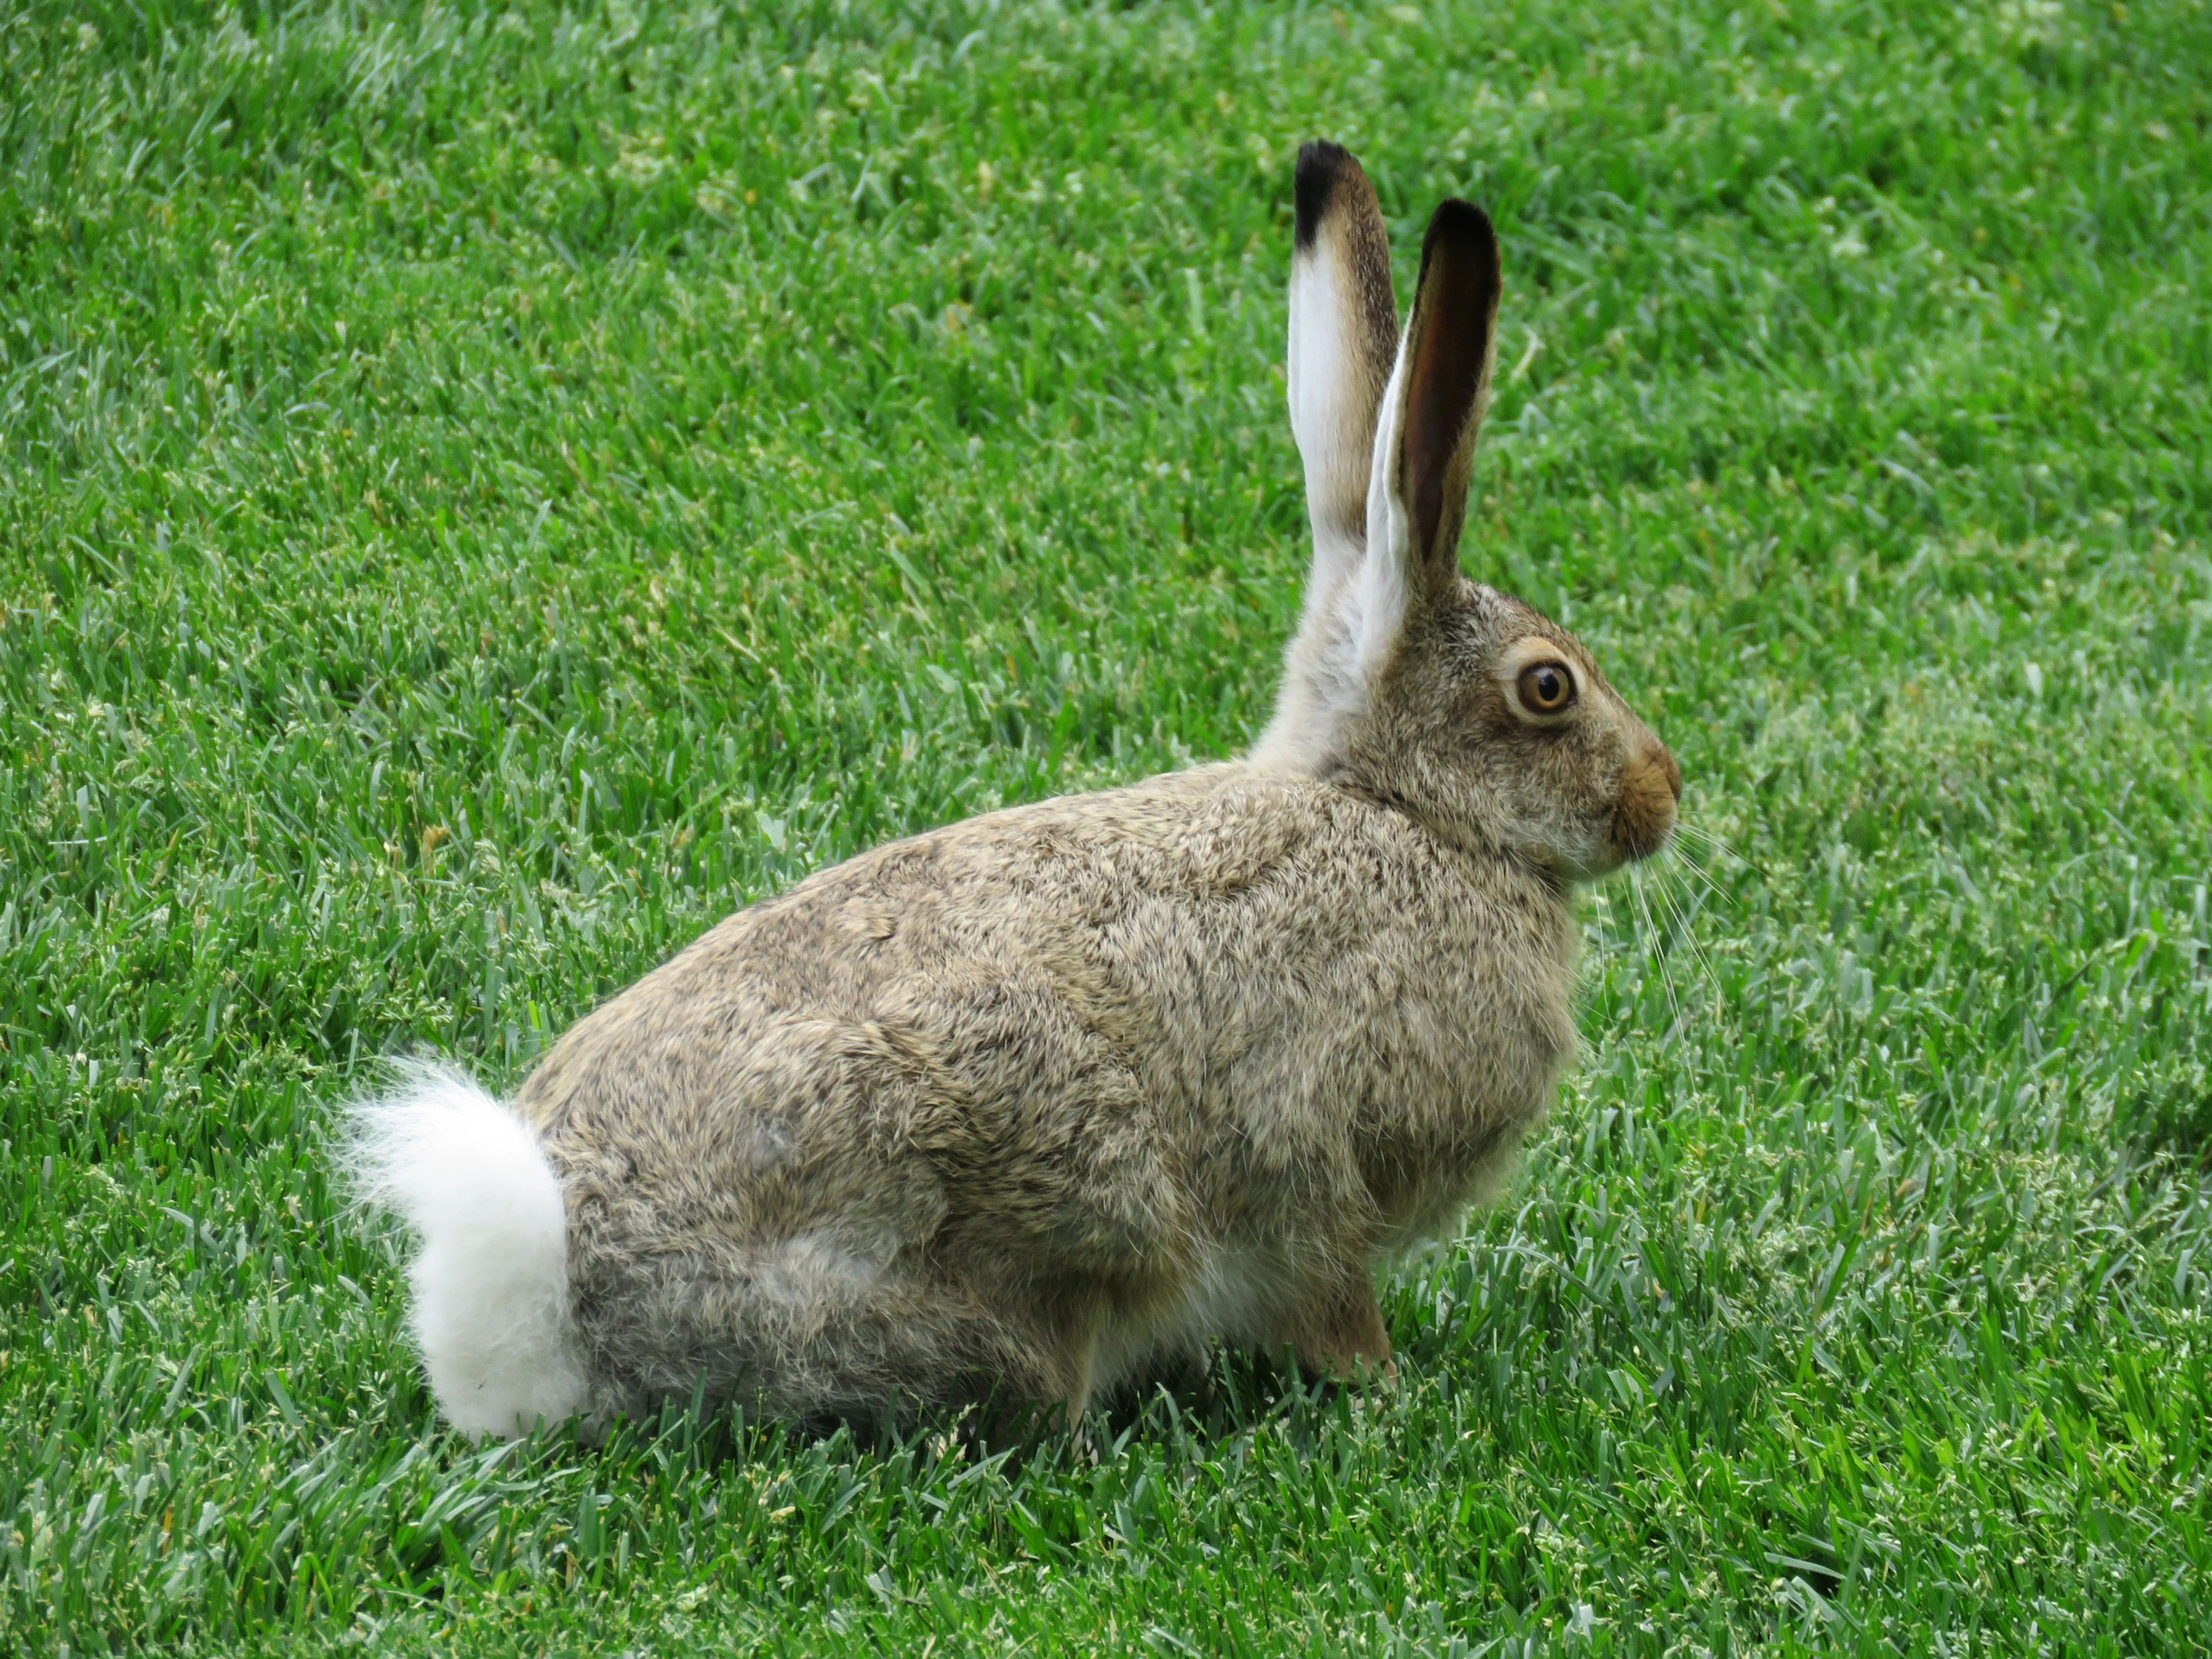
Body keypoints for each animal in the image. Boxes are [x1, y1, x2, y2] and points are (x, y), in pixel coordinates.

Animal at [354, 140, 1672, 1442]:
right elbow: (1330, 1293)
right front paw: (1391, 1391)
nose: (1660, 800)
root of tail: (543, 1299)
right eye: (1548, 688)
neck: (1408, 814)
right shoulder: (1316, 1172)